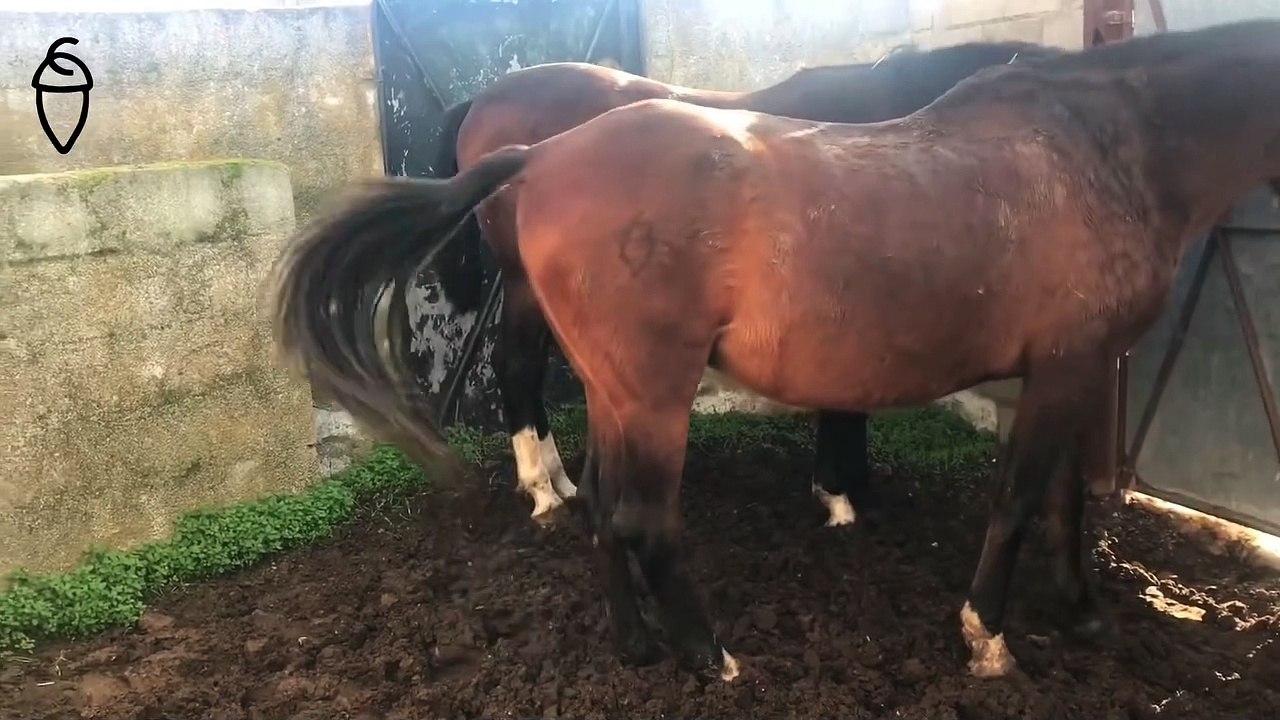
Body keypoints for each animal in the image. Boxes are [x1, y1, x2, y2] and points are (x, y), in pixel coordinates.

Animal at [430, 41, 1069, 527]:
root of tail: (483, 101)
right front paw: (839, 497)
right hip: (521, 281)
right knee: (515, 364)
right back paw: (541, 488)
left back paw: (559, 478)